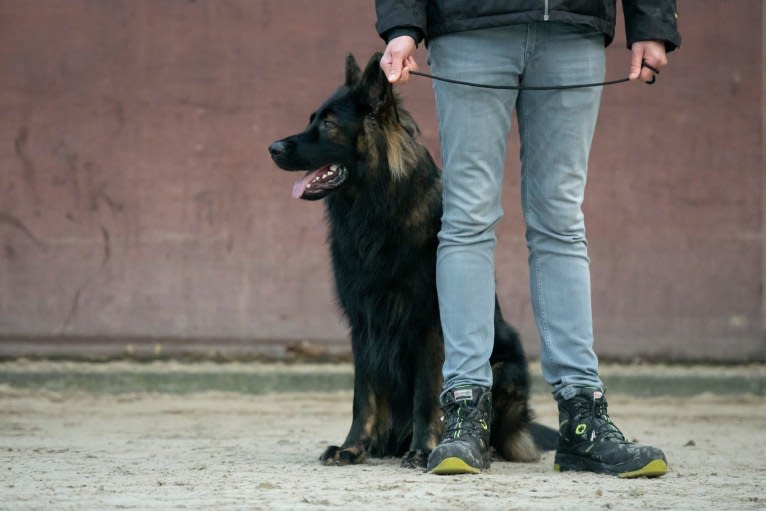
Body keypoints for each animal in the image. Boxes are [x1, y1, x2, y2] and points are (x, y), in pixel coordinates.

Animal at [270, 54, 552, 470]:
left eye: (328, 124)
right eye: (311, 119)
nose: (272, 148)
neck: (377, 209)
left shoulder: (428, 325)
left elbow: (427, 395)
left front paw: (424, 449)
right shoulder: (365, 324)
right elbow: (363, 395)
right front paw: (353, 446)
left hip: (505, 367)